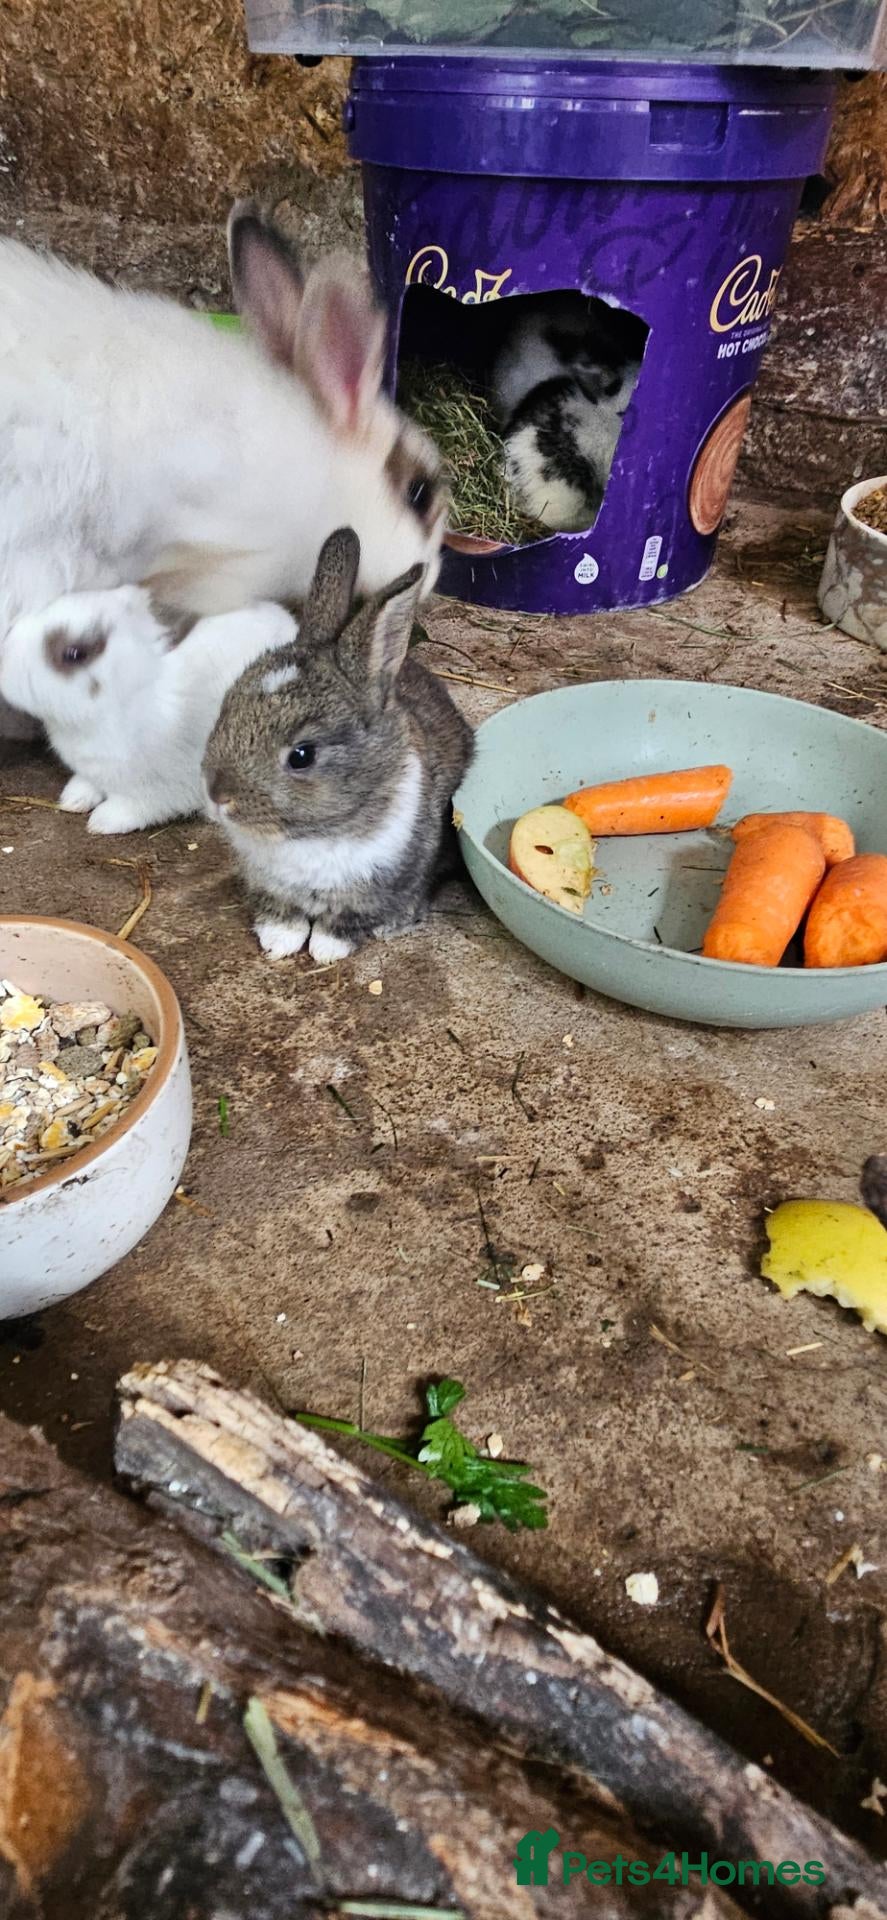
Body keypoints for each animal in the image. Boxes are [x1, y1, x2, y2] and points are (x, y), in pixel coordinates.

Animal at [0, 585, 297, 833]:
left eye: (73, 654)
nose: (5, 664)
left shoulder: (165, 785)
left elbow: (139, 806)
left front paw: (101, 822)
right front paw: (73, 799)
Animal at [203, 526, 474, 966]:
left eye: (302, 755)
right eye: (226, 708)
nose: (217, 796)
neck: (312, 836)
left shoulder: (375, 888)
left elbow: (346, 921)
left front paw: (326, 950)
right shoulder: (272, 889)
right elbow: (283, 915)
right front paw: (279, 942)